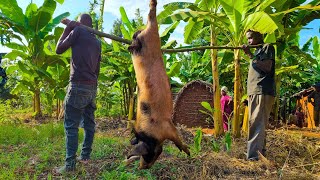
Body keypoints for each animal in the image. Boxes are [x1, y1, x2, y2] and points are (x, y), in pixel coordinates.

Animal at [125, 0, 190, 169]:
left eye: (146, 154)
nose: (141, 167)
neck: (150, 134)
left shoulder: (167, 127)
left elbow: (177, 139)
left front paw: (188, 152)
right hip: (147, 35)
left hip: (150, 33)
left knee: (150, 19)